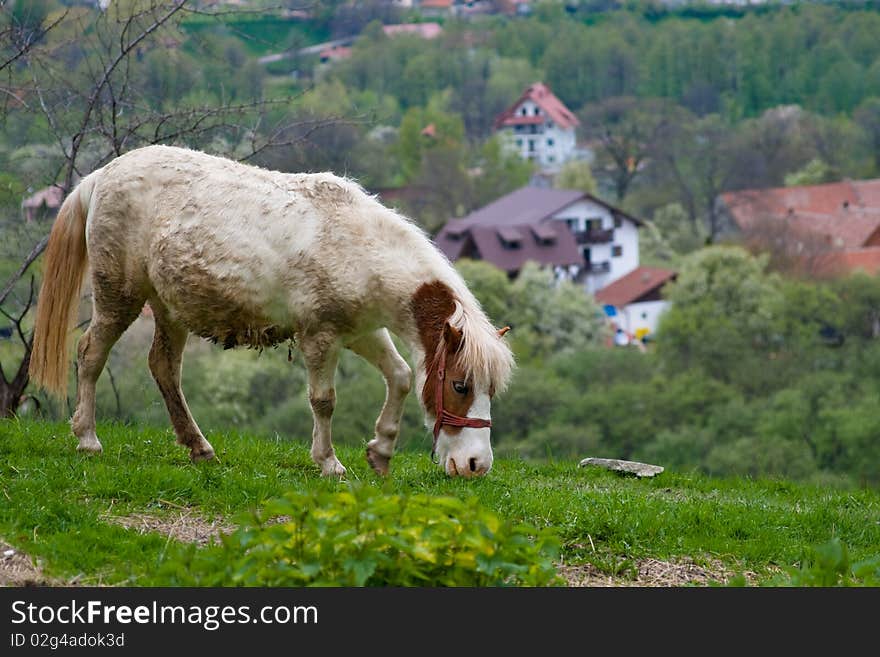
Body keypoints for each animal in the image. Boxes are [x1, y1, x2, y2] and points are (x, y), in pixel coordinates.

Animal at [29, 145, 516, 476]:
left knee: (163, 368)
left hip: (168, 308)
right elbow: (324, 401)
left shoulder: (362, 331)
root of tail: (100, 176)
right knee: (90, 354)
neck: (358, 246)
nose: (476, 464)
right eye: (459, 384)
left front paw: (380, 451)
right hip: (119, 297)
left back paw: (199, 446)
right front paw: (328, 462)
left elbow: (399, 376)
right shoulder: (320, 337)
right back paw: (88, 438)